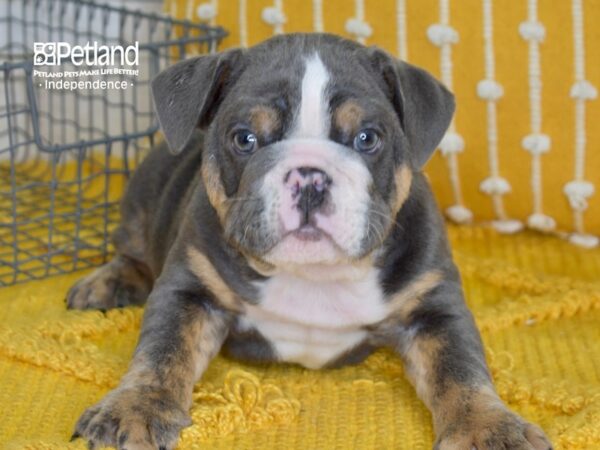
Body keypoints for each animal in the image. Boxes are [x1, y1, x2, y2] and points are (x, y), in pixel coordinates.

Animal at [68, 34, 552, 450]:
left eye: (367, 138)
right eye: (244, 138)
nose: (310, 176)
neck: (315, 274)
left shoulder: (434, 307)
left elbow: (461, 369)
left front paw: (489, 428)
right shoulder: (190, 289)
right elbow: (162, 352)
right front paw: (134, 409)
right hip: (143, 190)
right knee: (132, 249)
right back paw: (106, 282)